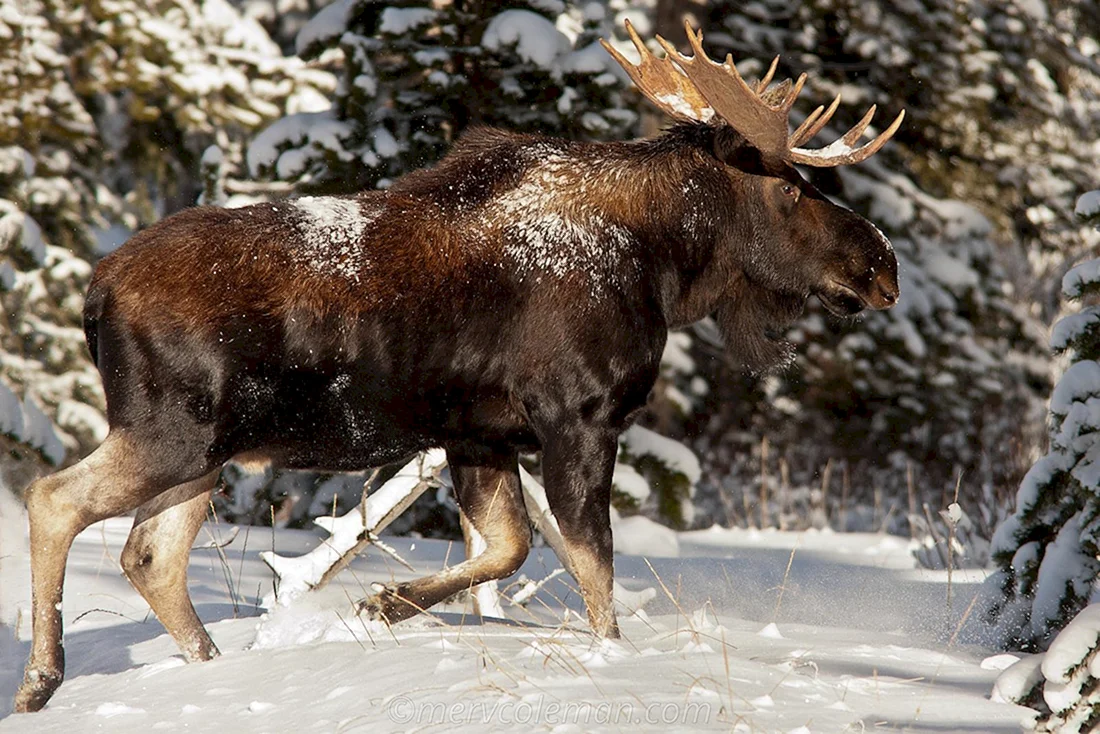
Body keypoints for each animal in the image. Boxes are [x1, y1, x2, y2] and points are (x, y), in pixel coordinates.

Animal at [14, 21, 902, 712]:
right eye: (790, 189)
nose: (881, 266)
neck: (662, 268)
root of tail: (94, 292)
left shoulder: (481, 434)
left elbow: (509, 548)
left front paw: (385, 602)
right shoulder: (580, 415)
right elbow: (592, 568)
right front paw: (613, 663)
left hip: (211, 450)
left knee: (149, 555)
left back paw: (210, 670)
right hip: (171, 430)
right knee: (53, 498)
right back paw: (41, 679)